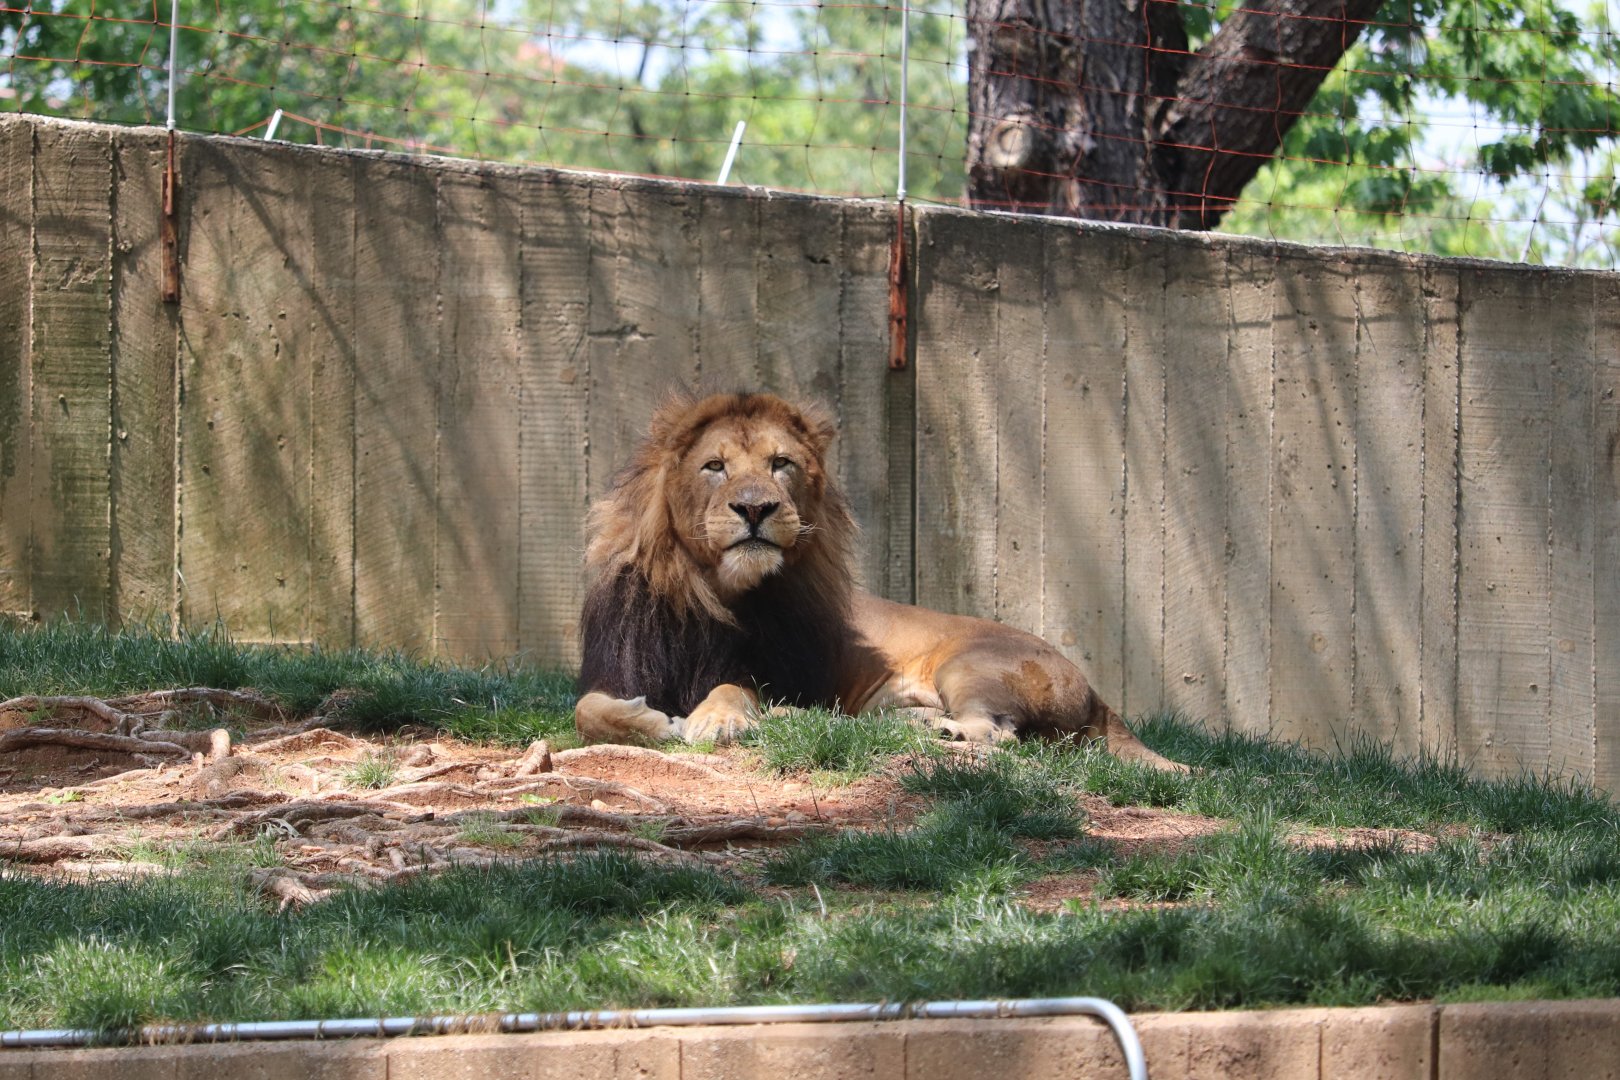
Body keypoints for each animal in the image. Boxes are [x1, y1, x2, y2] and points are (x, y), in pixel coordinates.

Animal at [574, 390, 1184, 771]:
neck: (708, 595)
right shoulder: (614, 668)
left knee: (998, 735)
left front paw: (716, 721)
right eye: (714, 466)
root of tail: (1099, 692)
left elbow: (732, 688)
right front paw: (651, 720)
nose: (755, 509)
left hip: (973, 665)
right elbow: (588, 713)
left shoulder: (779, 670)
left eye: (780, 464)